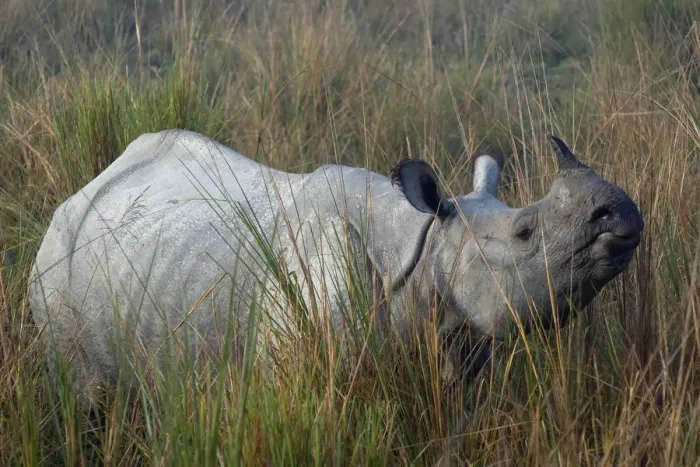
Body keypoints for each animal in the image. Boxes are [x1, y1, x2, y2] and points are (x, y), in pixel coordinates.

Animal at [28, 129, 643, 407]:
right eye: (525, 233)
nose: (622, 214)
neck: (424, 250)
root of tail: (85, 189)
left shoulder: (461, 350)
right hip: (56, 267)